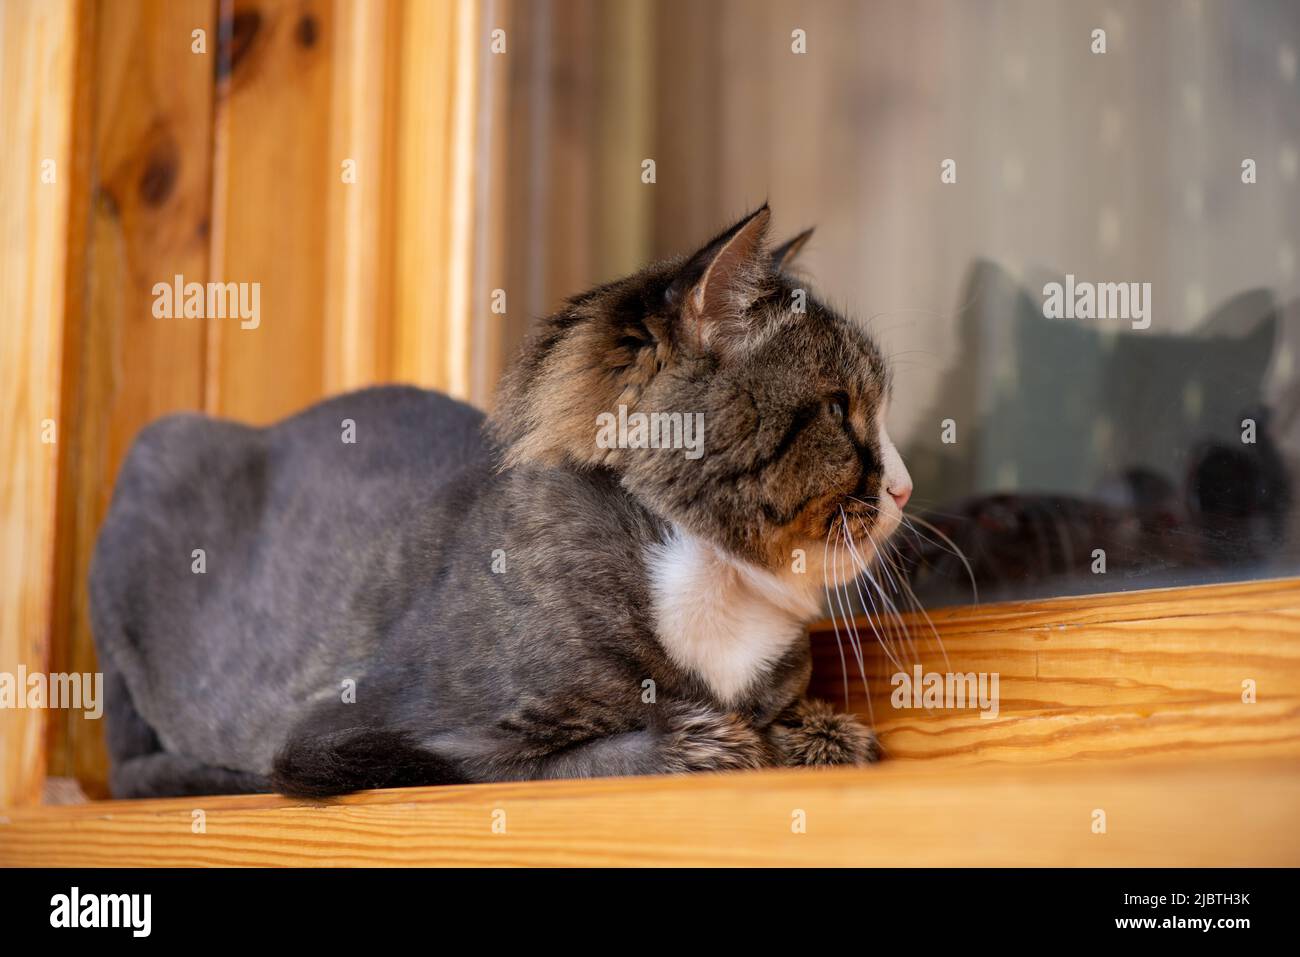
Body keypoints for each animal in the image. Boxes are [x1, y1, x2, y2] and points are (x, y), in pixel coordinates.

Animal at [89, 205, 915, 795]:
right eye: (840, 408)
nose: (905, 486)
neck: (717, 585)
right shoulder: (344, 737)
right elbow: (524, 760)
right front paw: (703, 741)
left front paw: (818, 732)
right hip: (159, 455)